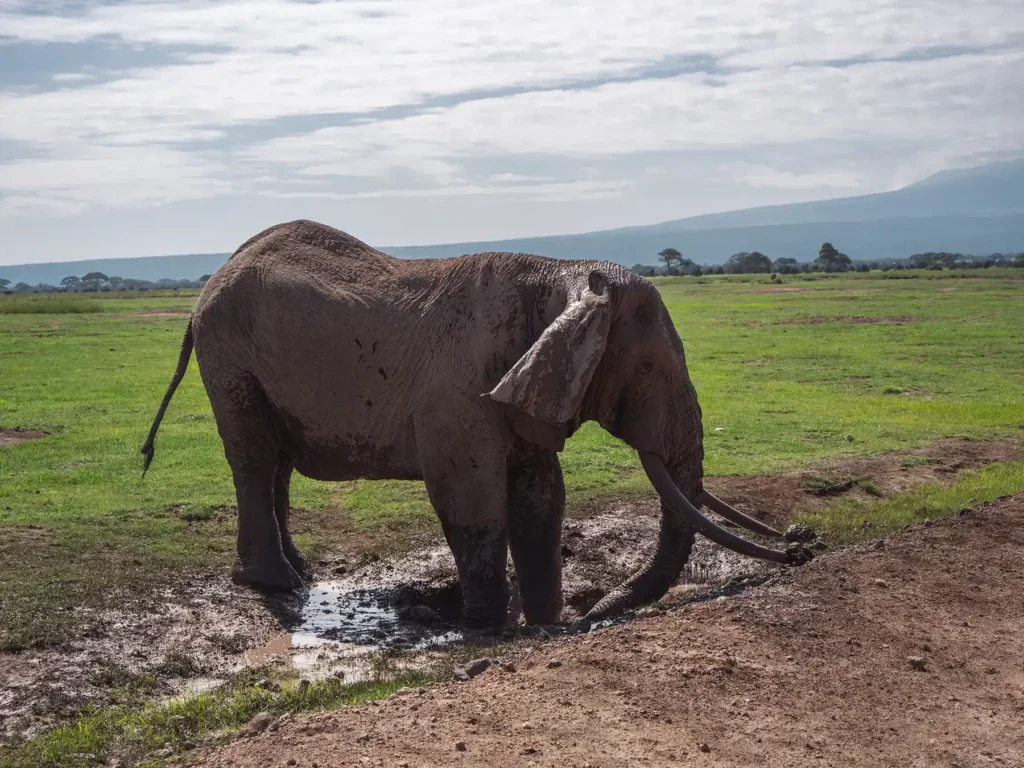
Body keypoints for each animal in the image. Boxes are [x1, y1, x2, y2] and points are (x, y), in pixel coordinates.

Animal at [142, 219, 809, 629]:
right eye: (645, 367)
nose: (802, 544)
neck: (562, 276)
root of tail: (211, 283)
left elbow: (542, 498)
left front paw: (544, 621)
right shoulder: (457, 391)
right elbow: (471, 497)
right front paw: (489, 625)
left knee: (276, 462)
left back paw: (295, 576)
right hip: (230, 356)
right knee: (257, 459)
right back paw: (276, 584)